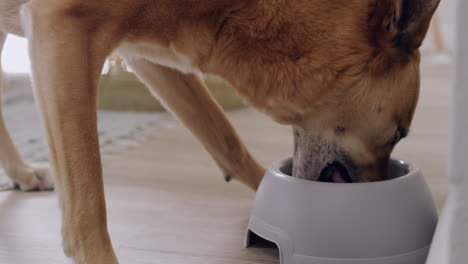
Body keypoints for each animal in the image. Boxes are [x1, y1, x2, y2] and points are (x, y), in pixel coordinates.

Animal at [0, 0, 438, 262]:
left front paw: (263, 191)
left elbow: (222, 134)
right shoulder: (63, 34)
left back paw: (23, 173)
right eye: (399, 133)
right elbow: (86, 206)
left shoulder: (147, 54)